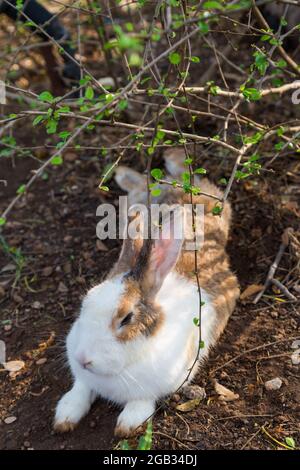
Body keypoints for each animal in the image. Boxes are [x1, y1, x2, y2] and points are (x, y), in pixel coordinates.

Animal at [54, 150, 240, 436]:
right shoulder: (83, 379)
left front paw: (127, 425)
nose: (84, 359)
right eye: (86, 302)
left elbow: (141, 402)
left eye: (126, 318)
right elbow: (81, 389)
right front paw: (65, 416)